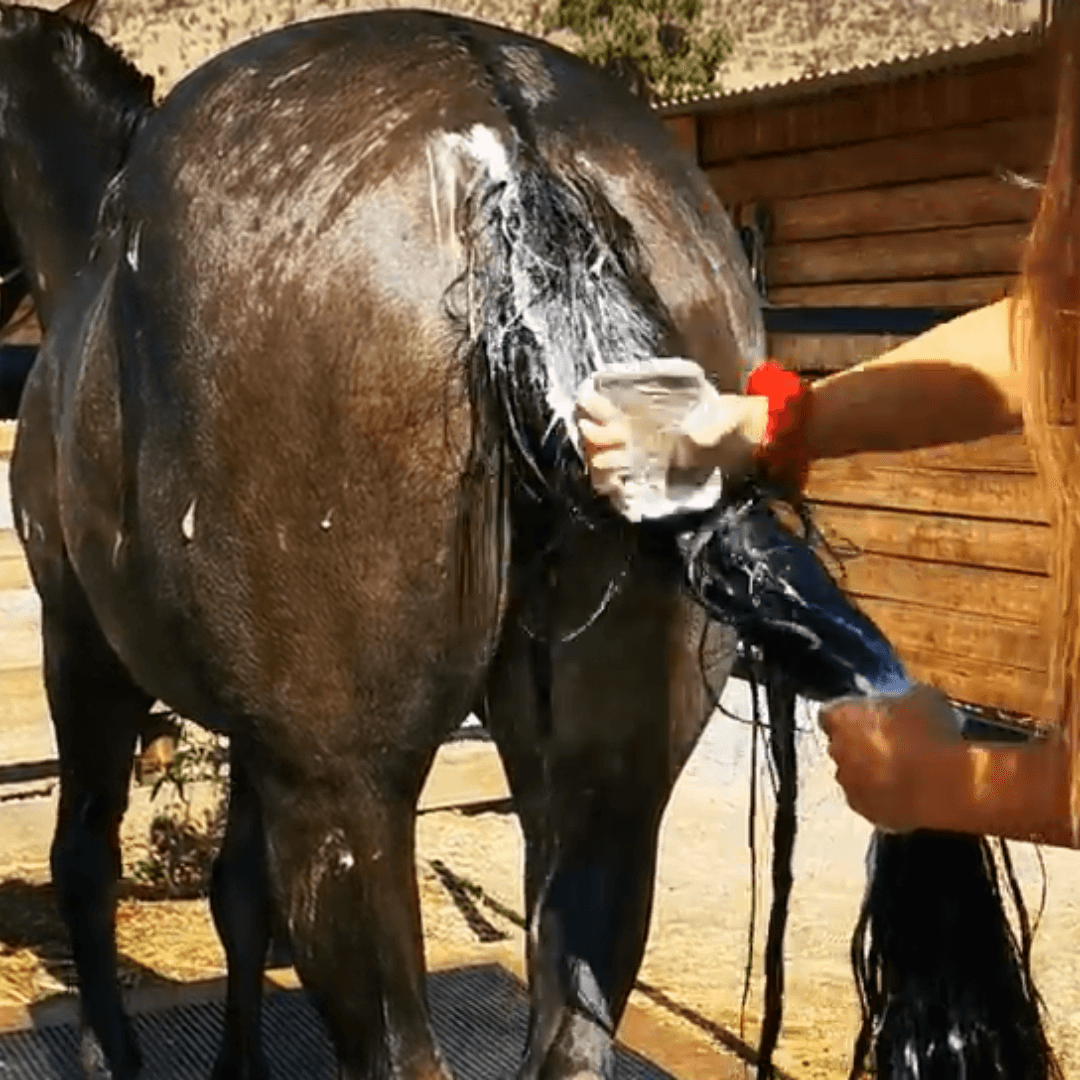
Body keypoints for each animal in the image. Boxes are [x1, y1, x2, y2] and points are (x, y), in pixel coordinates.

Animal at [0, 6, 760, 1078]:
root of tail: (511, 135)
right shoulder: (252, 737)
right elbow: (236, 894)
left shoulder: (83, 649)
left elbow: (85, 864)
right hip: (604, 790)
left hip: (344, 797)